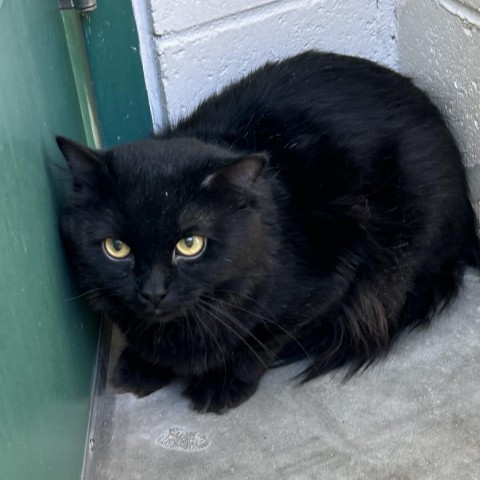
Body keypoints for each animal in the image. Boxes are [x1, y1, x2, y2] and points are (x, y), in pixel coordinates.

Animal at [58, 51, 478, 412]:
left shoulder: (329, 277)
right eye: (116, 248)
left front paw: (222, 383)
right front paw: (145, 363)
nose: (152, 292)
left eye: (190, 244)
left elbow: (263, 337)